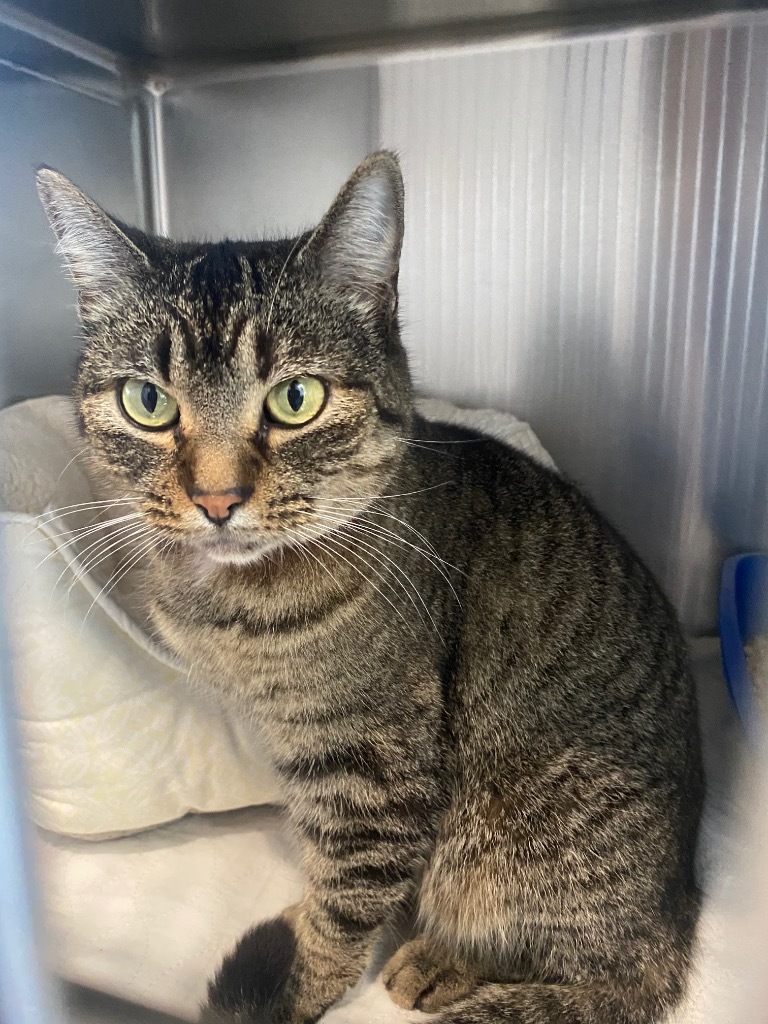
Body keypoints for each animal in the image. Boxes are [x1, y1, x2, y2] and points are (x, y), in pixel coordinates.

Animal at [39, 153, 708, 1024]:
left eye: (295, 399)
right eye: (147, 402)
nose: (216, 500)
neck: (235, 603)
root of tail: (679, 915)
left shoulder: (369, 762)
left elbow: (346, 898)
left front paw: (301, 983)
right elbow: (322, 870)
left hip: (523, 841)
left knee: (599, 972)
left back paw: (446, 960)